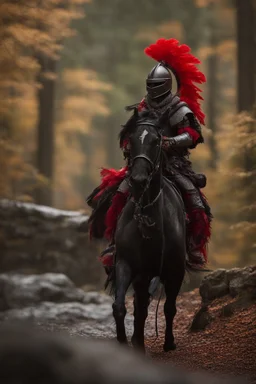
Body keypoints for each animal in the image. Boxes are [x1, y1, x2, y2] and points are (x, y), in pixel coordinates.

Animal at [112, 109, 186, 352]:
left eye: (156, 141)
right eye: (132, 140)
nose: (138, 179)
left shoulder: (156, 271)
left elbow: (149, 308)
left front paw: (141, 344)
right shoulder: (125, 263)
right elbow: (120, 306)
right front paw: (125, 341)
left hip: (171, 272)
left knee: (165, 307)